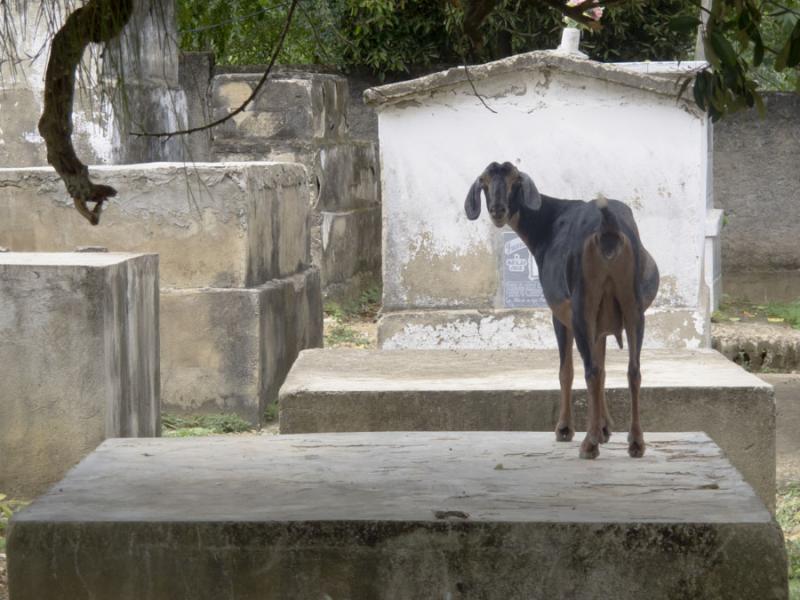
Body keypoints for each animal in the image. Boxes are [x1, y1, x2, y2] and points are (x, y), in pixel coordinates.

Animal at [466, 162, 660, 458]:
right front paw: (604, 428)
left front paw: (566, 429)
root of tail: (608, 229)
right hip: (633, 307)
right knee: (633, 370)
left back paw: (589, 445)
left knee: (590, 371)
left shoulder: (561, 313)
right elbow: (604, 366)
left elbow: (566, 370)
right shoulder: (601, 323)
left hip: (582, 305)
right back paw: (635, 442)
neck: (548, 225)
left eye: (515, 182)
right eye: (485, 182)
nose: (497, 210)